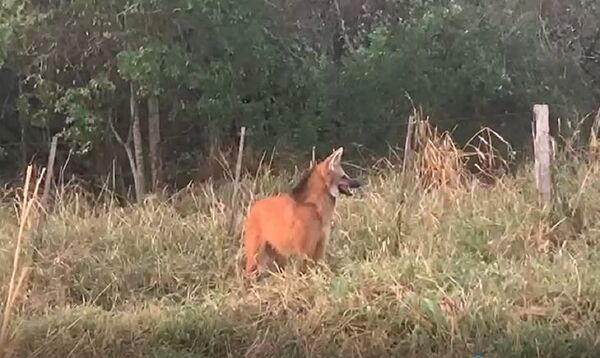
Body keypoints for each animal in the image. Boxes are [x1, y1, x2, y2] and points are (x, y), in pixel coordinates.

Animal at [243, 147, 360, 278]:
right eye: (344, 176)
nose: (358, 183)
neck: (316, 208)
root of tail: (253, 207)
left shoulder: (319, 249)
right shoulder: (305, 251)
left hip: (278, 255)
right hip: (256, 255)